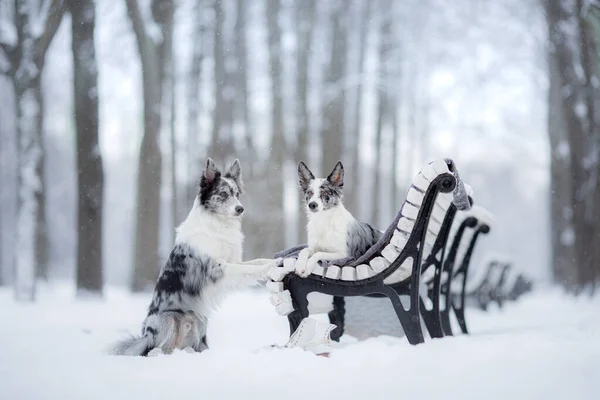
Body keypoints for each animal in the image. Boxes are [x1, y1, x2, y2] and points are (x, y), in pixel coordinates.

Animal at [111, 159, 280, 356]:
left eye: (237, 194)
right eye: (223, 194)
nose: (240, 209)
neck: (218, 224)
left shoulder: (232, 261)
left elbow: (256, 262)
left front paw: (273, 262)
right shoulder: (216, 268)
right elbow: (249, 268)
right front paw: (269, 268)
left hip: (200, 321)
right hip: (166, 320)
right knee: (154, 349)